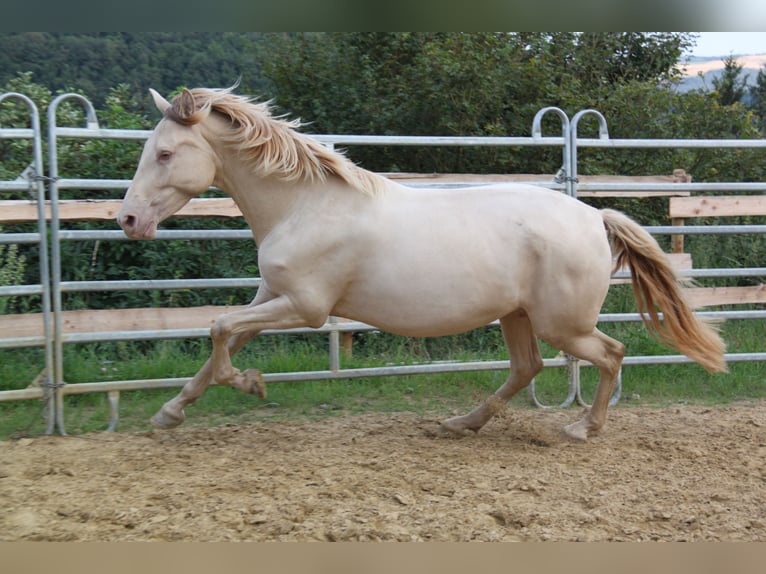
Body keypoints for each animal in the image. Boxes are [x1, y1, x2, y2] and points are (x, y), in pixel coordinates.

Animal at [115, 88, 728, 444]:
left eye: (165, 153)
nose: (127, 220)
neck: (305, 206)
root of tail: (594, 216)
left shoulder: (306, 307)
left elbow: (219, 332)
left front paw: (252, 385)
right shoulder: (270, 298)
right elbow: (221, 339)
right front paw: (170, 412)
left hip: (563, 324)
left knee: (611, 353)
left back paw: (582, 427)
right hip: (517, 315)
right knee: (528, 367)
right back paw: (461, 423)